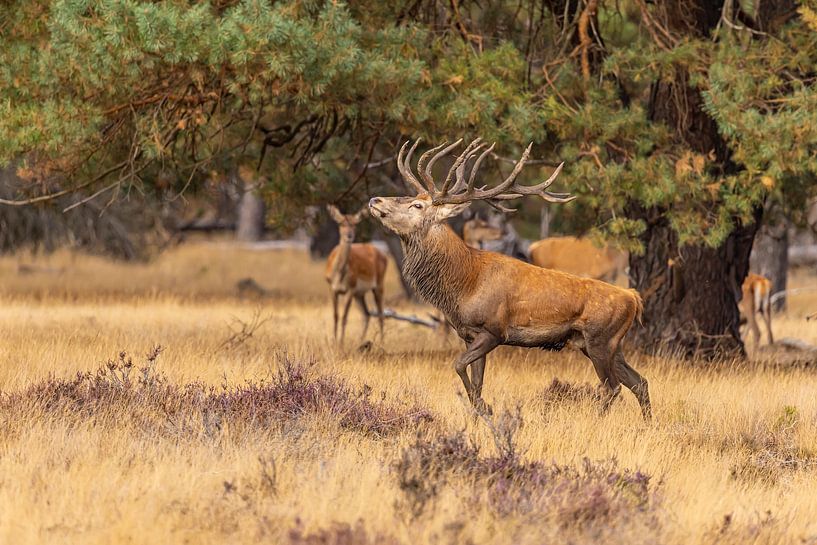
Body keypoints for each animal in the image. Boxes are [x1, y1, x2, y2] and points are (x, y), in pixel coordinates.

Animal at [325, 205, 388, 345]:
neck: (339, 275)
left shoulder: (351, 289)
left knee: (380, 314)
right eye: (341, 223)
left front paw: (340, 344)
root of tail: (384, 255)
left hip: (379, 284)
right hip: (360, 294)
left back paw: (381, 343)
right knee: (367, 313)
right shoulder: (332, 289)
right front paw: (333, 342)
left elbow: (344, 317)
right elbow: (335, 316)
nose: (349, 235)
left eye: (355, 224)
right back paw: (360, 341)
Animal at [368, 138, 651, 419]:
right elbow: (476, 385)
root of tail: (633, 298)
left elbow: (458, 365)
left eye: (417, 205)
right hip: (607, 344)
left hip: (599, 339)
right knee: (639, 382)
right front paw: (481, 414)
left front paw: (488, 408)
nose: (374, 199)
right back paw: (647, 423)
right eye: (414, 198)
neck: (464, 285)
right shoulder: (469, 334)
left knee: (613, 387)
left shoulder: (494, 330)